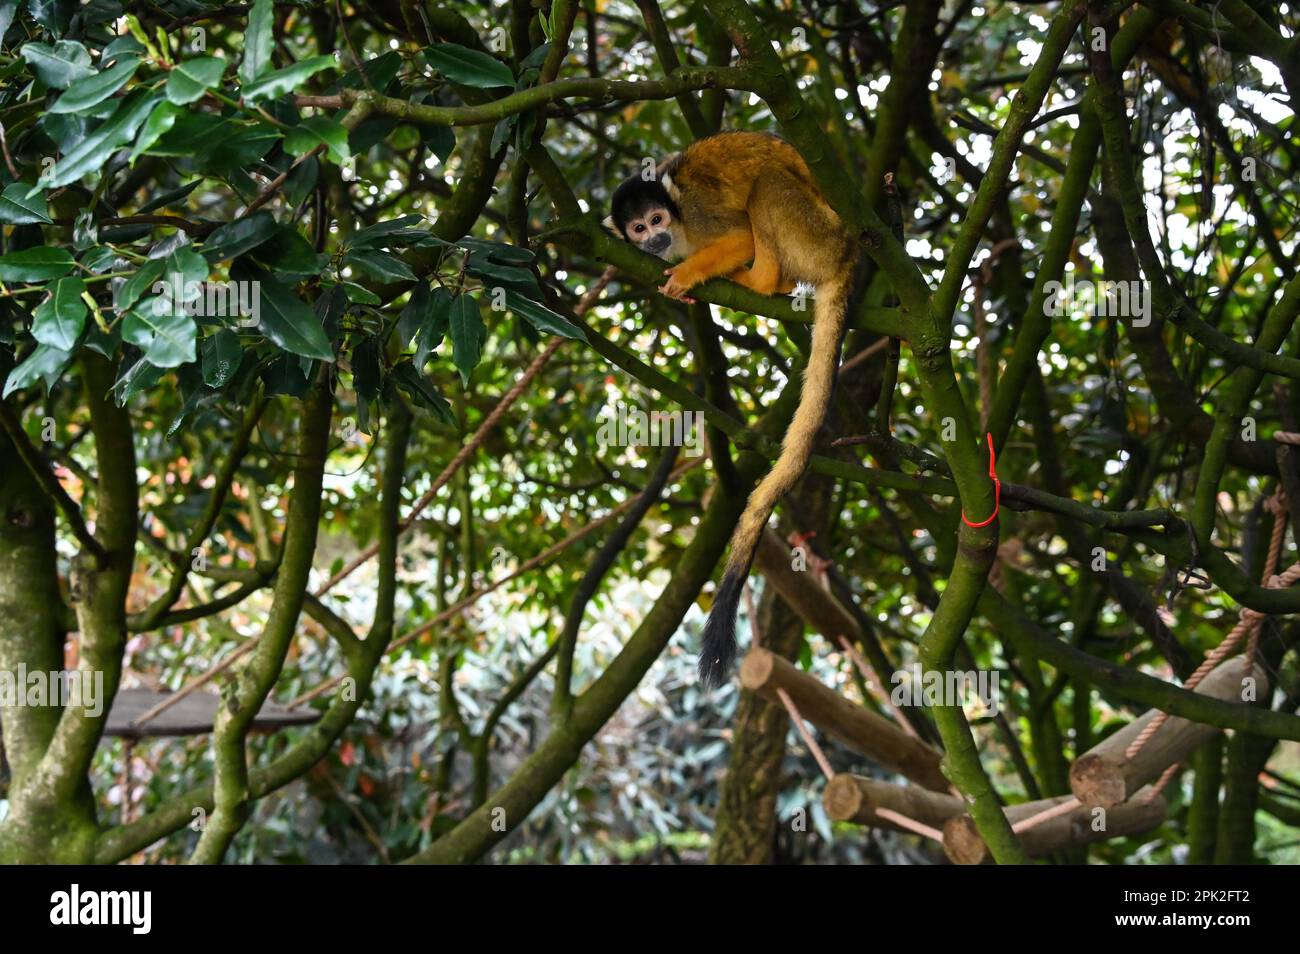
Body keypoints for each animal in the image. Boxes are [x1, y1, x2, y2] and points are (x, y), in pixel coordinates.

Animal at [608, 132, 863, 686]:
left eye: (656, 219)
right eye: (638, 229)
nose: (654, 240)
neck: (679, 224)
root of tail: (848, 252)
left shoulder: (699, 215)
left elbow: (740, 234)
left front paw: (686, 275)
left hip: (815, 234)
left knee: (765, 188)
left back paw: (762, 283)